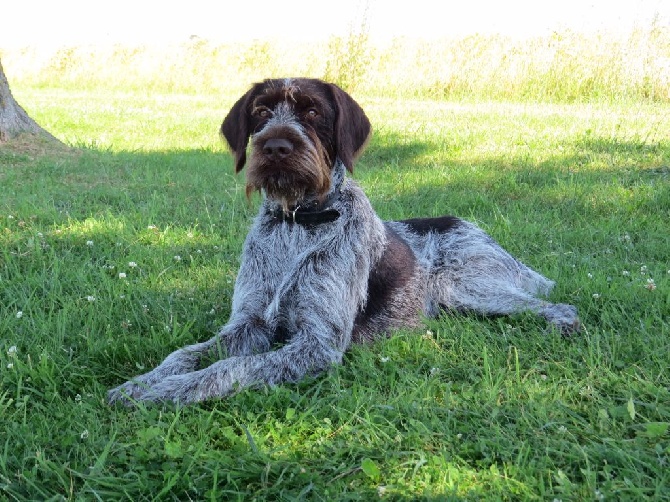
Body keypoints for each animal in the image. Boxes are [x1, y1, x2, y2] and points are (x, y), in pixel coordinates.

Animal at [107, 79, 580, 408]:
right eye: (261, 110)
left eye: (313, 111)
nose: (276, 146)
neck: (298, 223)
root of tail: (472, 226)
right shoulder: (247, 324)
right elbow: (185, 354)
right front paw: (142, 381)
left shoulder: (318, 344)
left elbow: (228, 368)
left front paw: (165, 392)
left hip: (464, 287)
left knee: (559, 305)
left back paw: (560, 325)